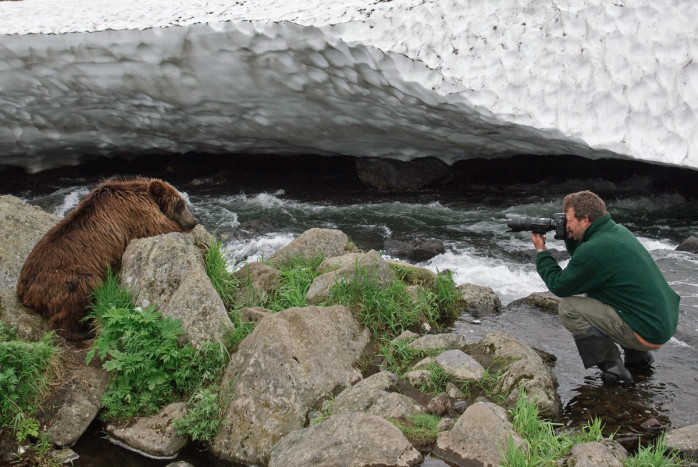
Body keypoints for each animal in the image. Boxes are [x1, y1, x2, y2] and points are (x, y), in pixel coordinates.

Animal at [15, 176, 198, 340]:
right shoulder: (137, 212)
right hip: (61, 278)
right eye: (180, 204)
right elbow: (162, 227)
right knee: (84, 286)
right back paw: (81, 332)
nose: (194, 220)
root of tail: (23, 291)